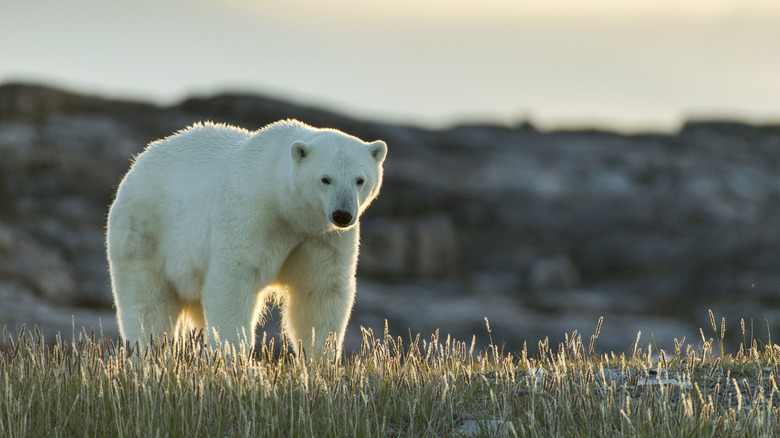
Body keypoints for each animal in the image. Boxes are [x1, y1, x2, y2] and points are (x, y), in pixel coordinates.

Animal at [108, 120, 388, 360]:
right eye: (325, 179)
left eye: (360, 180)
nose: (342, 214)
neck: (287, 209)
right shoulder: (252, 215)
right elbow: (234, 281)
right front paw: (232, 358)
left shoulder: (321, 238)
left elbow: (320, 292)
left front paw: (321, 360)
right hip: (146, 232)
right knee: (148, 306)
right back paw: (149, 357)